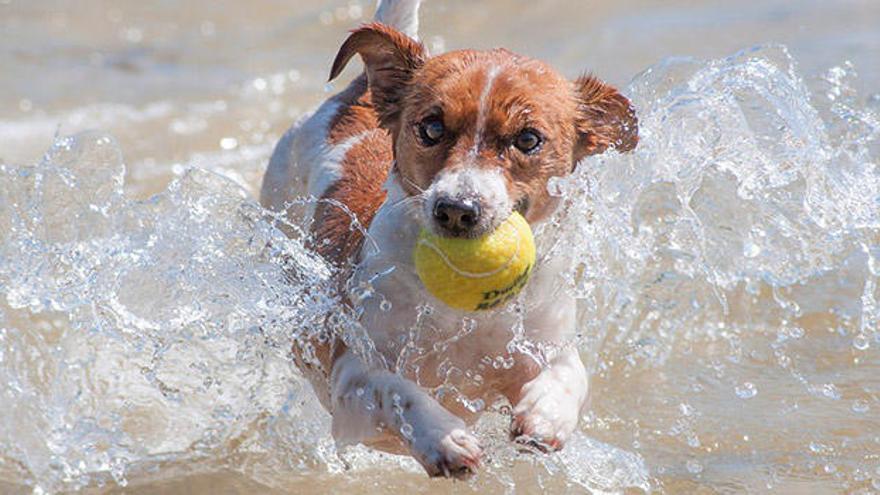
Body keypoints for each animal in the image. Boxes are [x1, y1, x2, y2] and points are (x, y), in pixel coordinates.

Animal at [258, 0, 636, 480]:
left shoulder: (545, 342)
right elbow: (396, 389)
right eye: (432, 128)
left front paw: (546, 414)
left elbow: (570, 373)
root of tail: (356, 94)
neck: (464, 317)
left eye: (528, 139)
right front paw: (443, 438)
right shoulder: (349, 374)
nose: (457, 208)